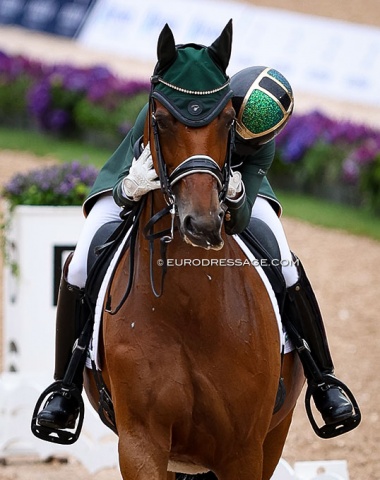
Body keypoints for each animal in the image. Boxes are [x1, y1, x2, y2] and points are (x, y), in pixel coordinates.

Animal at [84, 20, 302, 478]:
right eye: (161, 119)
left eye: (226, 121)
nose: (200, 223)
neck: (189, 306)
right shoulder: (141, 443)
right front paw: (136, 181)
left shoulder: (244, 451)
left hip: (275, 435)